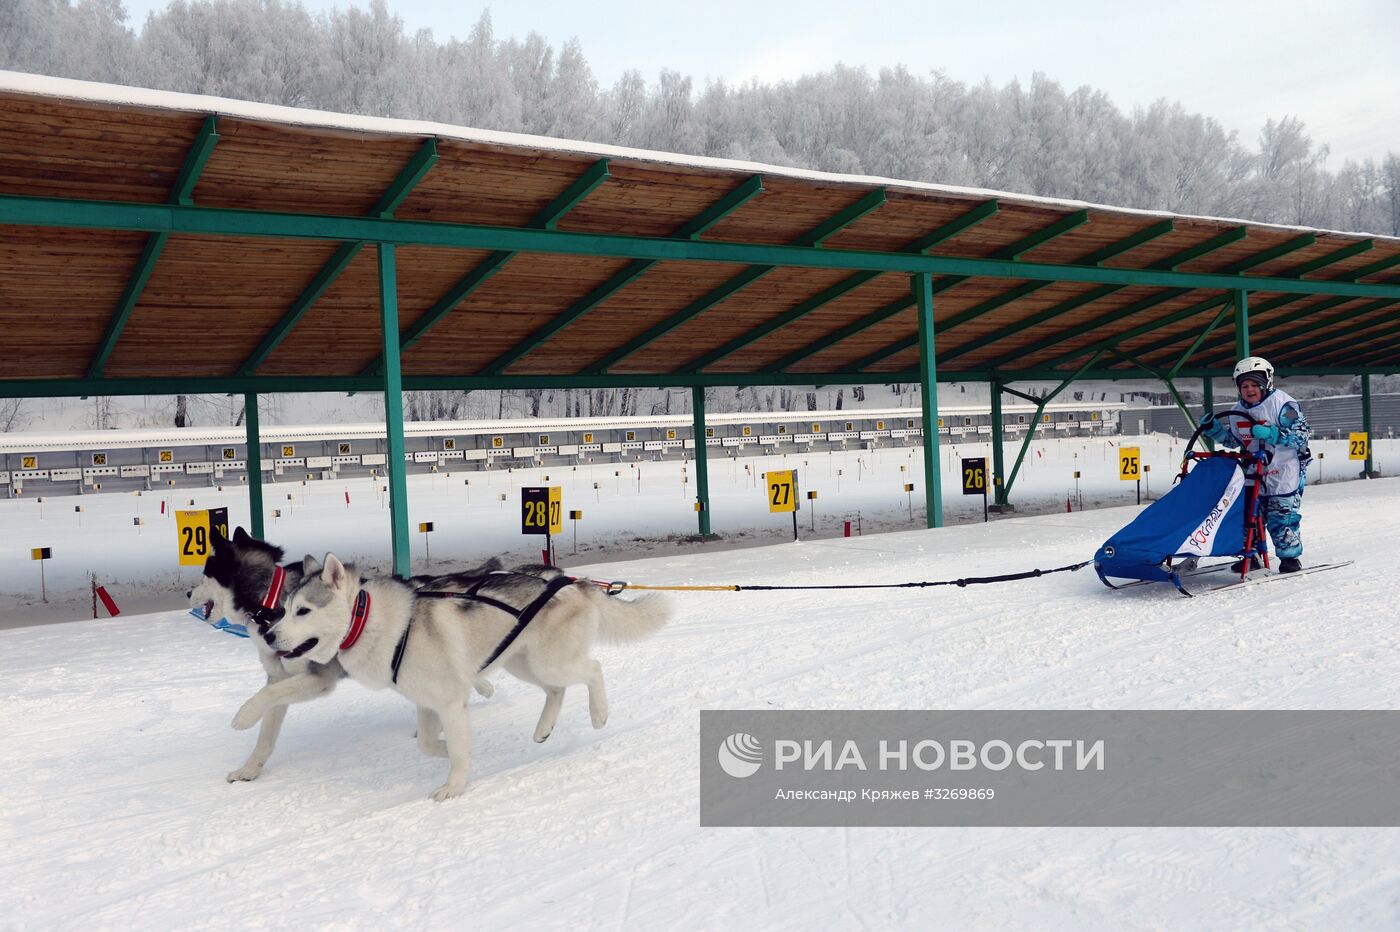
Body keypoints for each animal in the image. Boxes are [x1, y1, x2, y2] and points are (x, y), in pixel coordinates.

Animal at [189, 526, 506, 778]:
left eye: (204, 574)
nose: (188, 593)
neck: (270, 602)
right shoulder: (280, 677)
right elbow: (266, 732)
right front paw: (248, 770)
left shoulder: (317, 678)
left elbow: (265, 697)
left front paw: (244, 716)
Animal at [256, 551, 672, 800]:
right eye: (285, 609)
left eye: (304, 611)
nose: (269, 635)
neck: (372, 619)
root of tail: (573, 581)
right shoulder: (428, 702)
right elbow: (430, 744)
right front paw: (452, 753)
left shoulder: (450, 702)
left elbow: (455, 751)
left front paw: (453, 787)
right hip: (521, 662)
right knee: (556, 690)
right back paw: (543, 728)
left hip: (549, 660)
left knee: (592, 670)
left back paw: (599, 715)